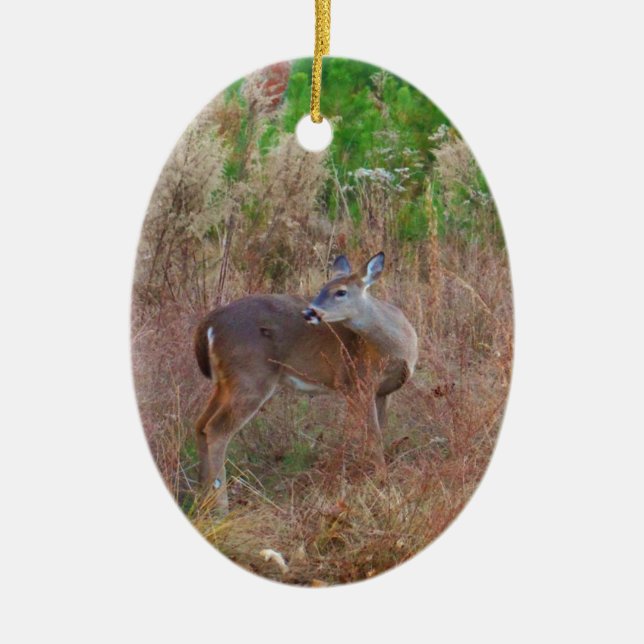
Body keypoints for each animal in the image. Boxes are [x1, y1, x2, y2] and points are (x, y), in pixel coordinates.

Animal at [193, 251, 418, 511]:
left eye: (340, 291)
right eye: (322, 288)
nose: (310, 312)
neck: (398, 347)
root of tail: (209, 324)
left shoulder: (382, 391)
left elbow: (377, 431)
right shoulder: (356, 382)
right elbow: (373, 436)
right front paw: (383, 483)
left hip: (225, 382)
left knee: (200, 424)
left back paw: (202, 498)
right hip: (250, 376)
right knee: (216, 429)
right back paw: (221, 506)